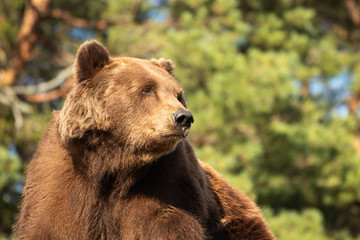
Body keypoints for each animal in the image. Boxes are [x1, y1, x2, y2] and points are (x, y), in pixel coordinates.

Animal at [12, 40, 274, 239]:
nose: (183, 117)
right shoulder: (61, 178)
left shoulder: (166, 182)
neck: (113, 162)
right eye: (147, 89)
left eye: (178, 94)